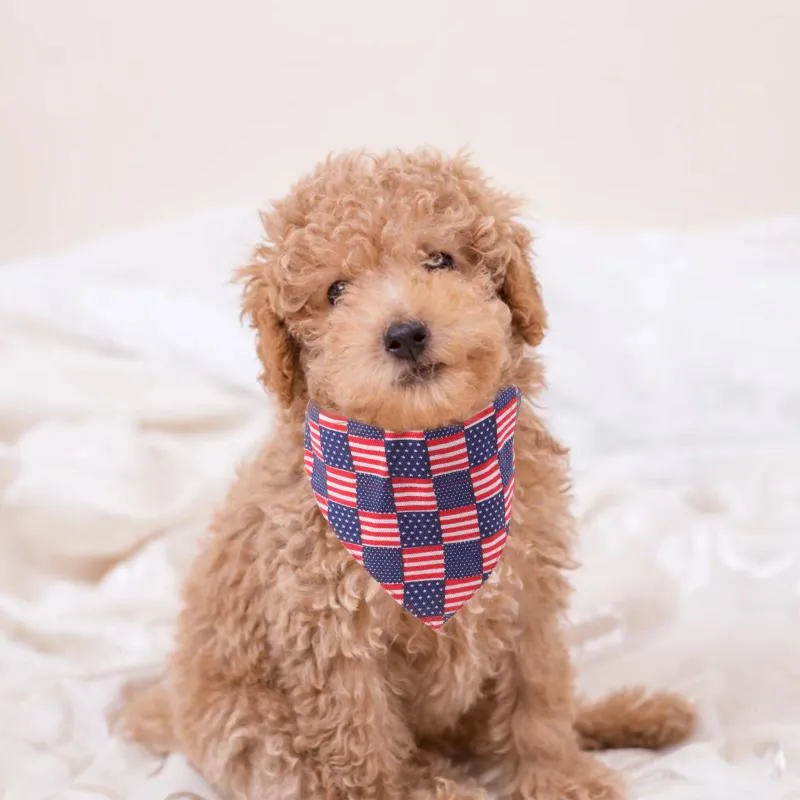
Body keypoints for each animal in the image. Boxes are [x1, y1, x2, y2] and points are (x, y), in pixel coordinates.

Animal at [117, 147, 692, 796]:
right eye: (336, 291)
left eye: (439, 259)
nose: (404, 333)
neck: (426, 463)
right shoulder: (330, 632)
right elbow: (361, 740)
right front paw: (397, 790)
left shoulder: (527, 597)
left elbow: (539, 699)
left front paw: (560, 776)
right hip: (252, 731)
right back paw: (442, 782)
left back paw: (633, 716)